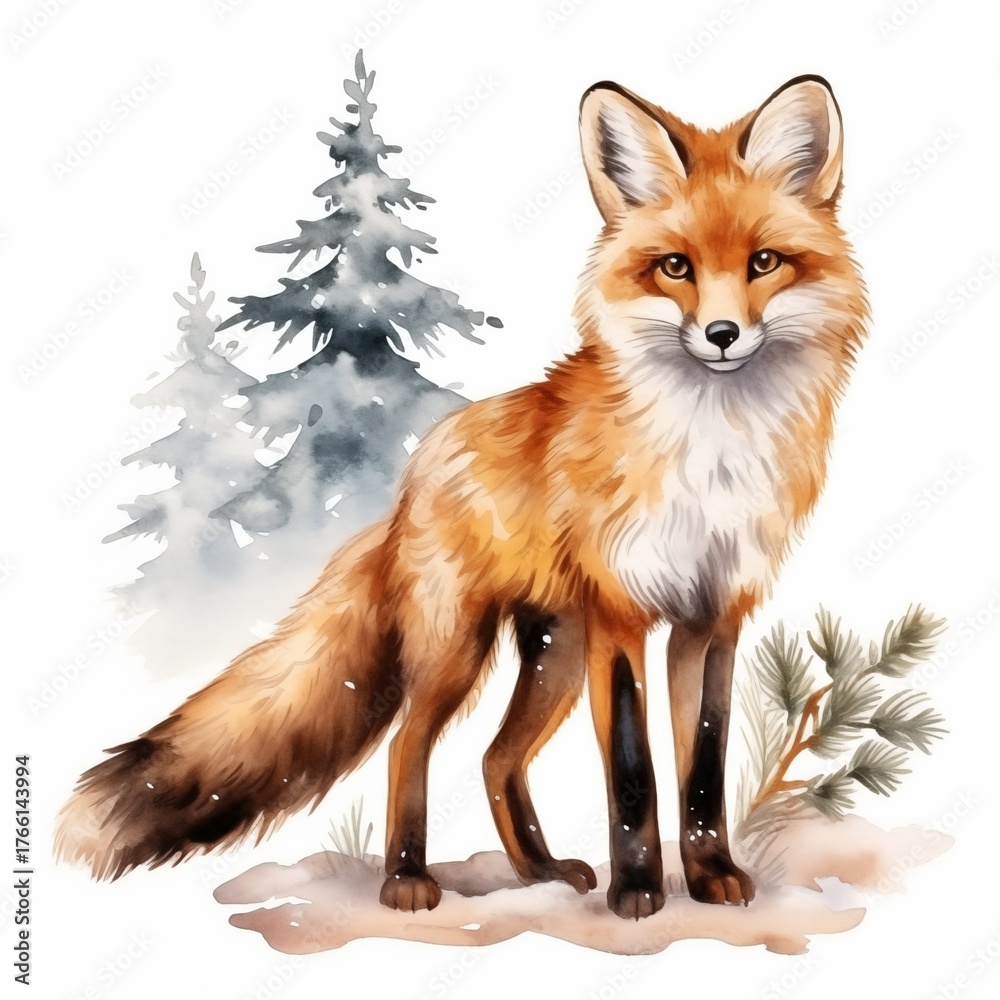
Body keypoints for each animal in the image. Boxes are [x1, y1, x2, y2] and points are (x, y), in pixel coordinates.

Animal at [57, 75, 867, 920]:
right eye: (675, 267)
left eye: (765, 262)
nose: (720, 334)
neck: (711, 452)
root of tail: (411, 478)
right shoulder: (621, 614)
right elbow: (634, 773)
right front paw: (639, 890)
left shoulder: (713, 617)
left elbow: (702, 767)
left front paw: (711, 875)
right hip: (462, 648)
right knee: (409, 744)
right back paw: (406, 878)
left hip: (556, 657)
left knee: (493, 759)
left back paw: (540, 871)